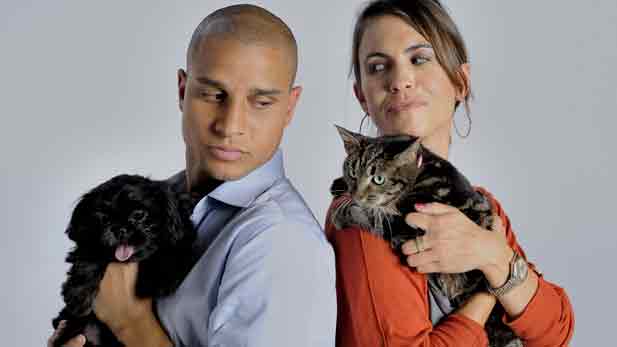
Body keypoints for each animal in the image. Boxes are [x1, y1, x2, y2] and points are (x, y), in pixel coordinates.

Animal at [53, 175, 197, 346]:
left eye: (139, 215)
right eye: (104, 219)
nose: (119, 229)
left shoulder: (181, 235)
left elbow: (173, 250)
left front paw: (160, 280)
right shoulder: (87, 244)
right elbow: (88, 255)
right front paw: (78, 295)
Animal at [332, 126, 520, 347]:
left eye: (378, 179)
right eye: (353, 172)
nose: (357, 195)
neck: (421, 171)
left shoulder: (409, 225)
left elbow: (374, 217)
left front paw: (344, 212)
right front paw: (339, 185)